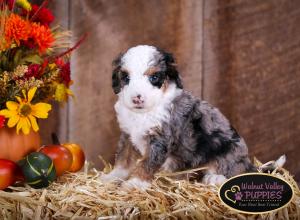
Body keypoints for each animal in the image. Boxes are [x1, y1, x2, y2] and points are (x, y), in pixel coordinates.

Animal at [99, 45, 286, 191]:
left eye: (154, 77)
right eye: (126, 77)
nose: (137, 98)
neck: (144, 112)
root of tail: (249, 163)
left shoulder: (160, 140)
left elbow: (147, 164)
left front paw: (134, 184)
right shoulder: (127, 135)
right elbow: (123, 159)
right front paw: (111, 177)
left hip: (228, 152)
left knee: (230, 170)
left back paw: (214, 178)